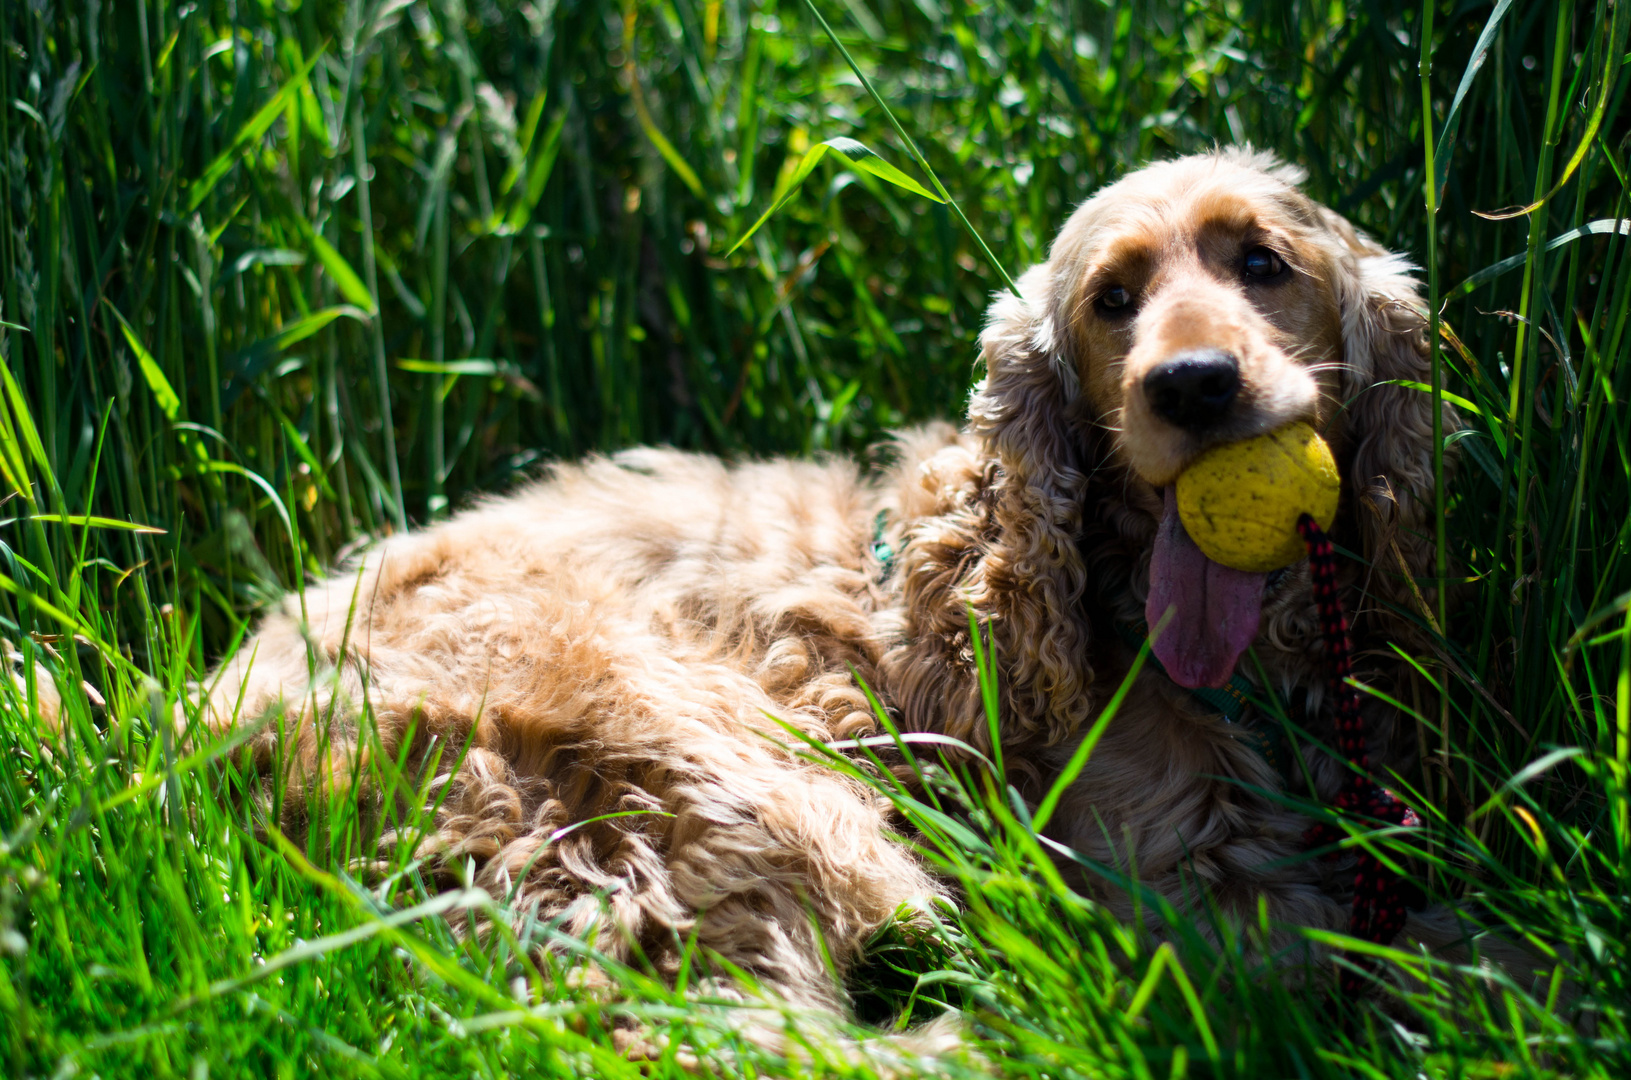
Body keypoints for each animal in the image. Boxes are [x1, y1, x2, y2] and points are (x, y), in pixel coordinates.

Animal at [190, 150, 1467, 1024]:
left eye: (1263, 263)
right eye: (1111, 299)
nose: (1192, 384)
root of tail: (203, 728)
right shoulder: (1180, 898)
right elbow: (1394, 951)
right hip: (729, 770)